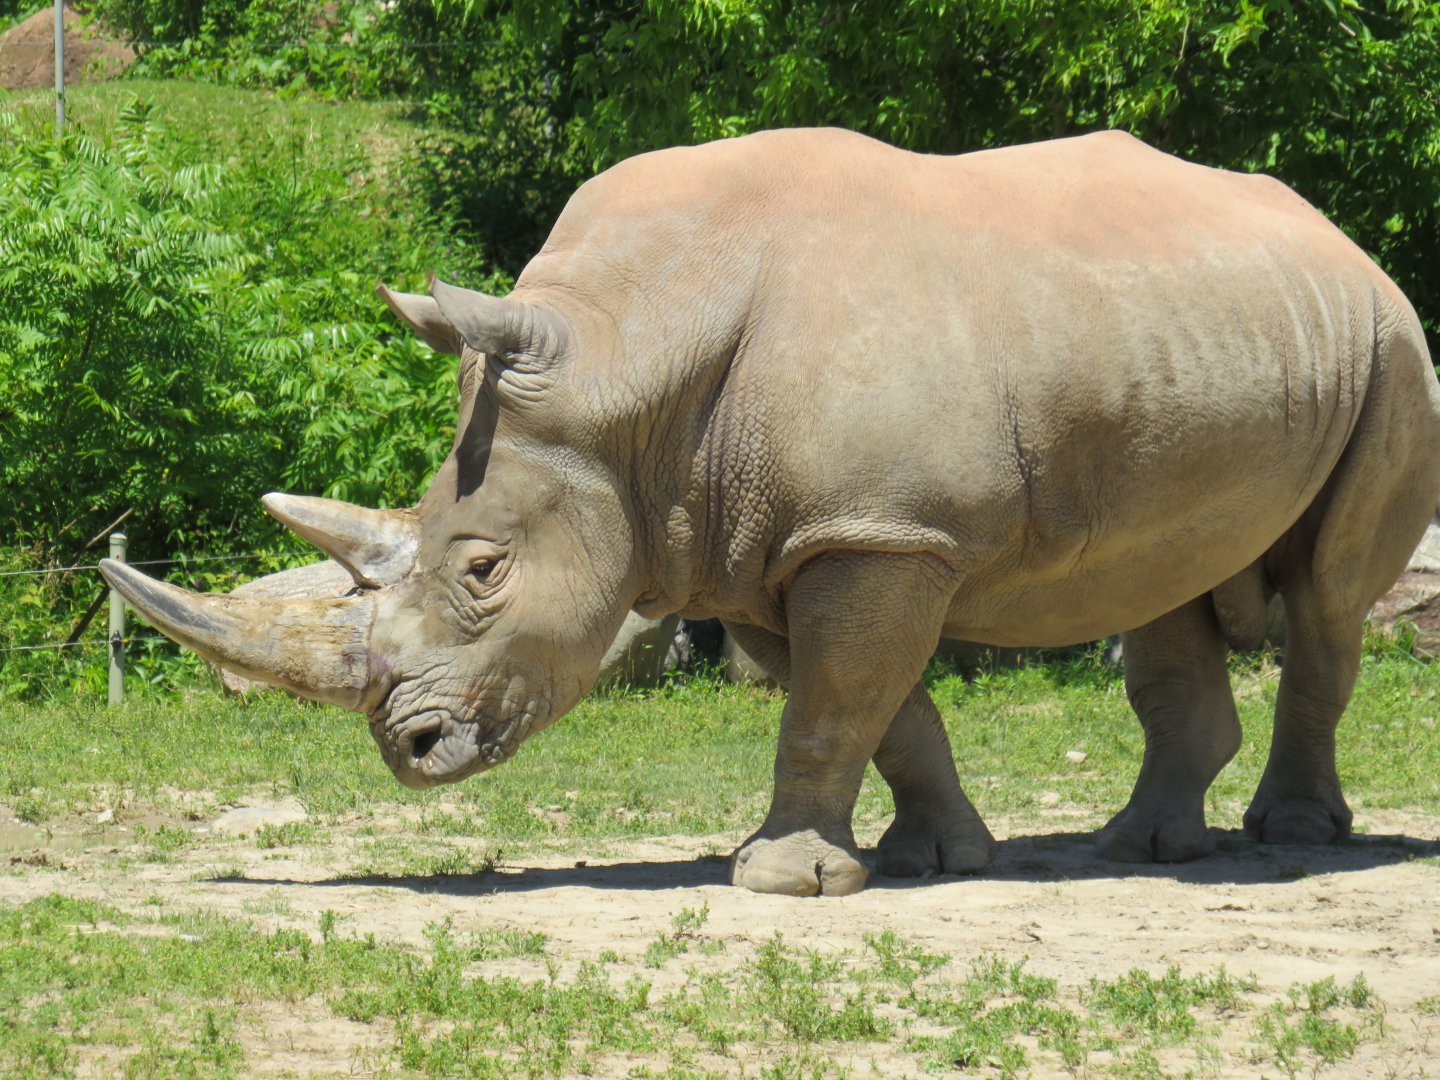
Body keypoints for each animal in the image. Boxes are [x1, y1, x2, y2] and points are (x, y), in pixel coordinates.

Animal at [102, 128, 1440, 896]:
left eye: (483, 573)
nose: (409, 752)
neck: (624, 363)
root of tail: (1336, 237)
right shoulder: (770, 537)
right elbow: (878, 709)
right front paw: (927, 861)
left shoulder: (878, 531)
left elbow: (835, 703)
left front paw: (784, 882)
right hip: (1211, 339)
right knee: (1164, 577)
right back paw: (1142, 850)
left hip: (1391, 345)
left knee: (1329, 595)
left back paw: (1295, 834)